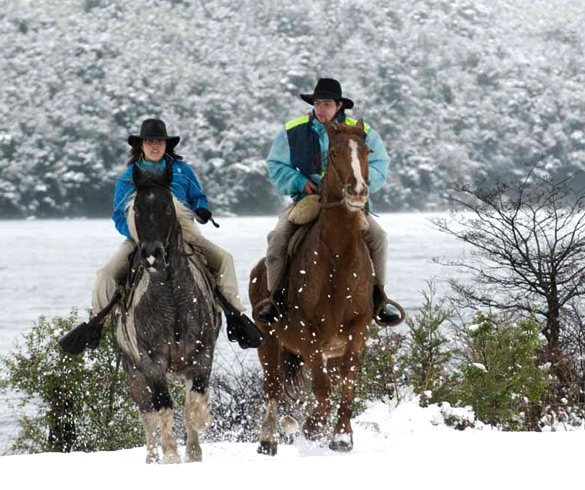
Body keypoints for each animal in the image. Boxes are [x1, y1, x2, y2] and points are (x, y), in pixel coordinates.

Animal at [115, 164, 220, 464]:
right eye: (137, 208)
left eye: (166, 207)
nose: (152, 255)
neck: (172, 295)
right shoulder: (152, 363)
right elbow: (163, 407)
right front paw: (171, 455)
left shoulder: (202, 355)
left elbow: (193, 404)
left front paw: (198, 435)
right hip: (134, 373)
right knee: (148, 414)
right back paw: (153, 457)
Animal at [249, 120, 372, 454]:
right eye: (334, 152)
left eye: (367, 151)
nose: (357, 191)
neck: (338, 259)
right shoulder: (310, 334)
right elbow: (321, 386)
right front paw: (314, 425)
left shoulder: (356, 331)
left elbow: (347, 382)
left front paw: (341, 435)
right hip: (268, 341)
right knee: (272, 388)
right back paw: (269, 438)